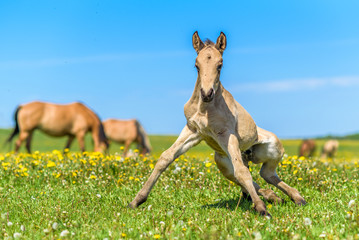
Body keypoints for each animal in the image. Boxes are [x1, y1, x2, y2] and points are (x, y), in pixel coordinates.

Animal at [129, 31, 306, 217]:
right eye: (196, 65)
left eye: (220, 65)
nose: (207, 94)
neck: (205, 109)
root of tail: (247, 154)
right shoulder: (193, 131)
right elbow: (165, 158)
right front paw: (136, 201)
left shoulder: (226, 134)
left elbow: (243, 172)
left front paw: (261, 209)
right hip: (222, 162)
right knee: (250, 175)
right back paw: (275, 197)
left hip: (272, 145)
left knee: (263, 172)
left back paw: (297, 198)